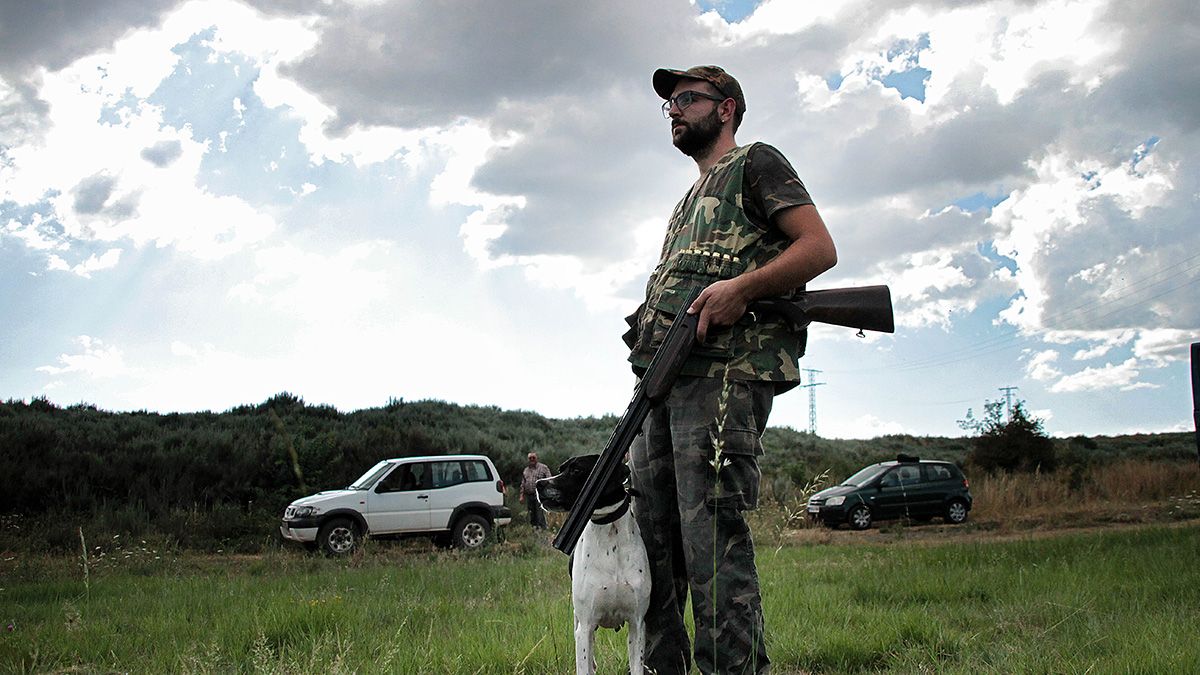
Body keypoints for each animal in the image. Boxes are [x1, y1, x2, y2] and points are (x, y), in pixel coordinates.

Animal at [535, 451, 648, 672]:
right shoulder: (585, 625)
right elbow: (584, 664)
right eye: (561, 469)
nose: (538, 483)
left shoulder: (637, 624)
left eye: (577, 470)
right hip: (579, 621)